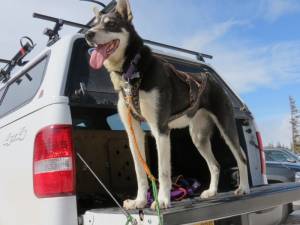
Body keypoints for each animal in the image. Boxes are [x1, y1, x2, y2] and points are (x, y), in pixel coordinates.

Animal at [85, 0, 250, 209]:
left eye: (111, 24)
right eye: (94, 24)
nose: (87, 35)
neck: (132, 72)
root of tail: (210, 78)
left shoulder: (160, 129)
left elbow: (163, 171)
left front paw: (163, 200)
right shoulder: (134, 133)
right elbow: (140, 172)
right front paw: (139, 201)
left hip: (226, 128)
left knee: (241, 157)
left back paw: (244, 188)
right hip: (198, 136)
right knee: (215, 165)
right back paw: (212, 192)